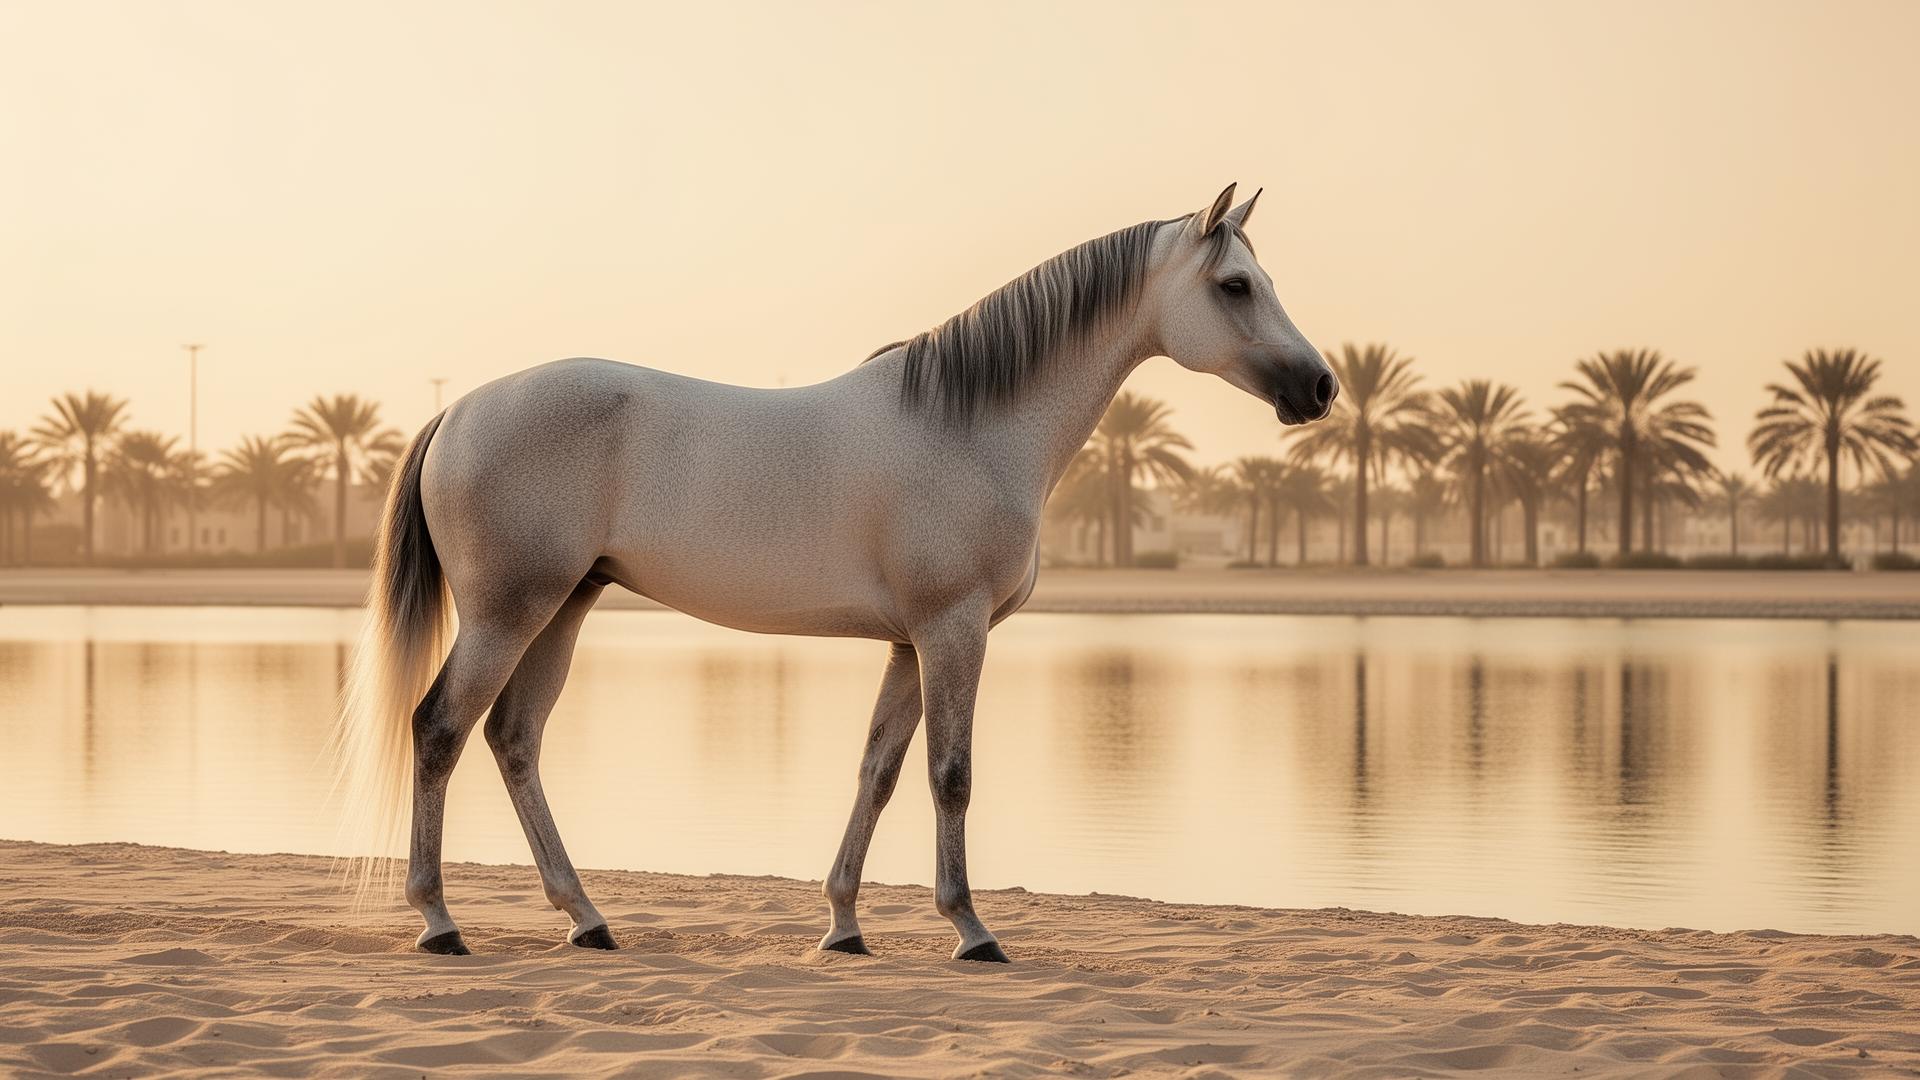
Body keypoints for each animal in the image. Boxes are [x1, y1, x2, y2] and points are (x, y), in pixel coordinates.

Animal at [336, 183, 1336, 962]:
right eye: (1235, 285)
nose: (1321, 387)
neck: (970, 425)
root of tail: (461, 410)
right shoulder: (952, 630)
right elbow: (950, 774)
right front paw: (971, 931)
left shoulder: (908, 644)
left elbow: (878, 773)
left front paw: (844, 925)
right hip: (509, 612)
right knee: (439, 728)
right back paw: (439, 922)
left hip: (565, 606)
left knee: (514, 739)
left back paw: (586, 918)